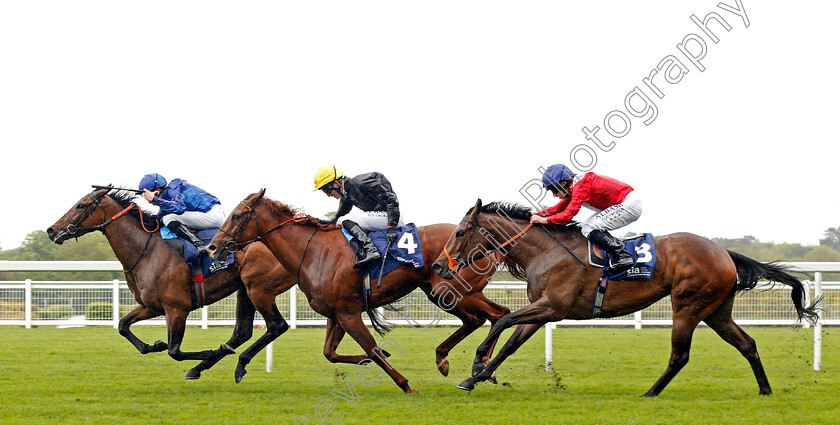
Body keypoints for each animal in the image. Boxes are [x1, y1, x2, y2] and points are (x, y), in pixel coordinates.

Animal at [46, 187, 296, 380]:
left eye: (81, 205)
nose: (51, 230)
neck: (146, 250)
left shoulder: (176, 308)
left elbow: (174, 350)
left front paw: (205, 352)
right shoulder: (151, 306)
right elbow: (123, 325)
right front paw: (154, 345)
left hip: (258, 288)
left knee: (276, 326)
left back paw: (229, 362)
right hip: (244, 289)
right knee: (242, 332)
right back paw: (210, 363)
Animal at [207, 190, 508, 392]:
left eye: (236, 215)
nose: (212, 246)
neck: (313, 251)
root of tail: (490, 244)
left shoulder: (349, 312)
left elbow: (372, 349)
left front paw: (405, 384)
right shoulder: (336, 313)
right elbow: (331, 353)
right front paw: (374, 360)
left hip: (453, 290)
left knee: (496, 314)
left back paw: (477, 366)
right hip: (442, 292)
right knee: (481, 318)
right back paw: (461, 363)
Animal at [434, 199, 820, 394]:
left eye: (461, 232)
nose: (439, 265)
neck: (546, 251)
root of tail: (724, 252)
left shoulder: (552, 306)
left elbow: (503, 321)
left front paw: (478, 364)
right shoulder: (543, 311)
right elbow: (511, 342)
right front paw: (474, 377)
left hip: (688, 306)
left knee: (680, 355)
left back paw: (650, 393)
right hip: (716, 310)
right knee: (747, 344)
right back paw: (765, 390)